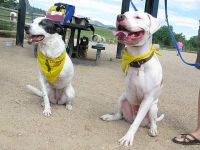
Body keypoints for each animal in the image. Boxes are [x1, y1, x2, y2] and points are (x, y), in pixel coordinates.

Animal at [101, 10, 163, 146]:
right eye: (124, 13)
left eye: (138, 17)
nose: (120, 16)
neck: (137, 59)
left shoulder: (147, 99)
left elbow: (135, 124)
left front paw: (128, 137)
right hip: (122, 98)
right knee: (120, 115)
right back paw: (110, 116)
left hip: (152, 107)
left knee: (152, 121)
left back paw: (153, 129)